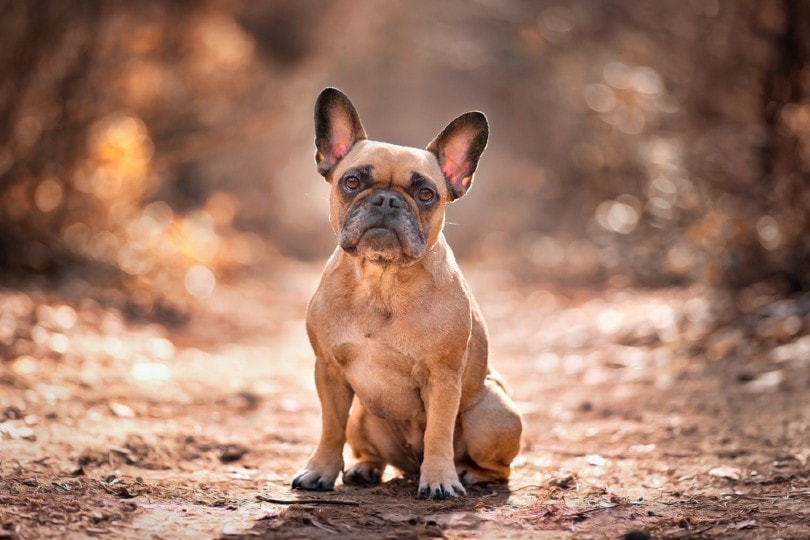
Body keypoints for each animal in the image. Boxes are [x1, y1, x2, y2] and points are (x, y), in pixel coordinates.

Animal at [292, 87, 524, 498]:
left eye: (426, 193)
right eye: (352, 182)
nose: (386, 199)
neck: (380, 280)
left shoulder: (443, 378)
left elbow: (438, 432)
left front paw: (441, 480)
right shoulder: (329, 372)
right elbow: (331, 428)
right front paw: (320, 471)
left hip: (493, 413)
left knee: (498, 467)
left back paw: (468, 473)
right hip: (363, 414)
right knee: (369, 448)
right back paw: (364, 468)